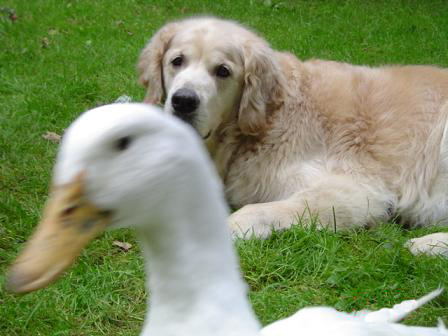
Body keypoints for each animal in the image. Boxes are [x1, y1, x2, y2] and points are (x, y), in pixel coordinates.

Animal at [138, 16, 448, 255]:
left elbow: (254, 210)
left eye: (223, 71)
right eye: (177, 61)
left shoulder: (356, 191)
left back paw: (427, 244)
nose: (183, 101)